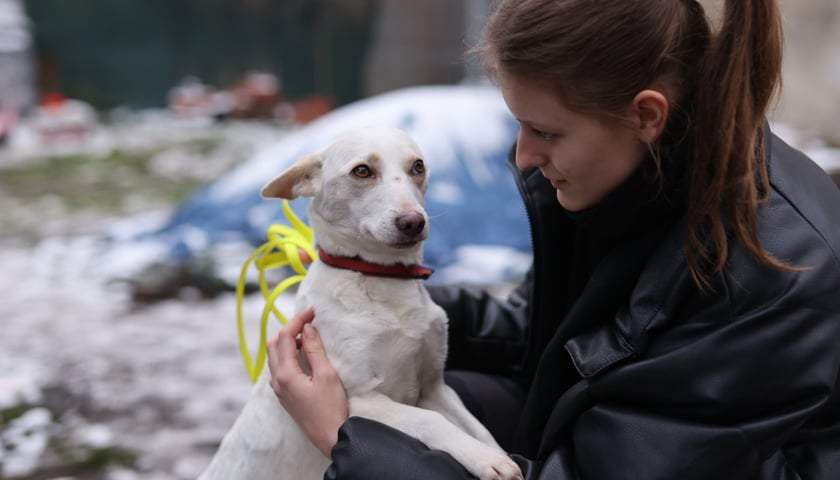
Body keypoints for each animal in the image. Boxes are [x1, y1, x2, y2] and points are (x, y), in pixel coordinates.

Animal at [200, 126, 520, 480]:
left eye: (418, 167)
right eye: (362, 171)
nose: (413, 222)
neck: (380, 278)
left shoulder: (435, 387)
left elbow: (480, 430)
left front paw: (491, 453)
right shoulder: (359, 399)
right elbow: (431, 420)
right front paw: (485, 458)